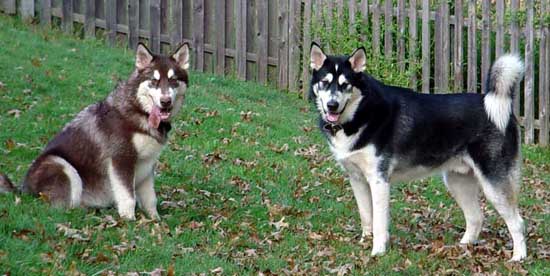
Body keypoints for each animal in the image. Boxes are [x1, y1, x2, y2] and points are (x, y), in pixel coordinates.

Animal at [0, 43, 190, 220]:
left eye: (173, 80)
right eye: (154, 81)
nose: (165, 101)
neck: (139, 110)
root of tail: (23, 189)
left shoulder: (147, 164)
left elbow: (150, 199)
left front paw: (155, 220)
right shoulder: (122, 160)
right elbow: (129, 197)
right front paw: (129, 221)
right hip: (63, 166)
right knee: (64, 207)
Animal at [312, 42, 528, 260]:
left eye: (345, 84)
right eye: (324, 82)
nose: (332, 105)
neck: (360, 112)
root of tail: (499, 105)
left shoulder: (379, 180)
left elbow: (379, 222)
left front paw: (378, 251)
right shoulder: (357, 179)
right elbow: (366, 216)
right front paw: (365, 242)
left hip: (493, 184)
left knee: (517, 222)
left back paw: (518, 257)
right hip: (457, 182)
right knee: (476, 217)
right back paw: (463, 246)